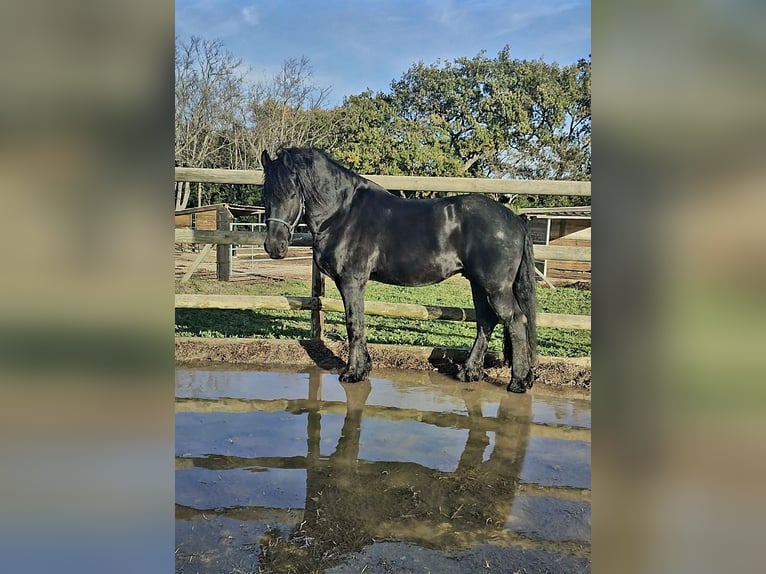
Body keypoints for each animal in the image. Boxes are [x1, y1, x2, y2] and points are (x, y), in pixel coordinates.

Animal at [260, 148, 537, 392]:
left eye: (292, 193)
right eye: (265, 193)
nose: (274, 246)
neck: (342, 213)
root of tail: (515, 220)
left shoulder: (352, 280)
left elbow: (354, 324)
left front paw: (353, 373)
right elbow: (359, 323)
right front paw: (364, 368)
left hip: (495, 287)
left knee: (515, 320)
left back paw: (518, 382)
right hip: (478, 284)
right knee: (486, 322)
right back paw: (469, 372)